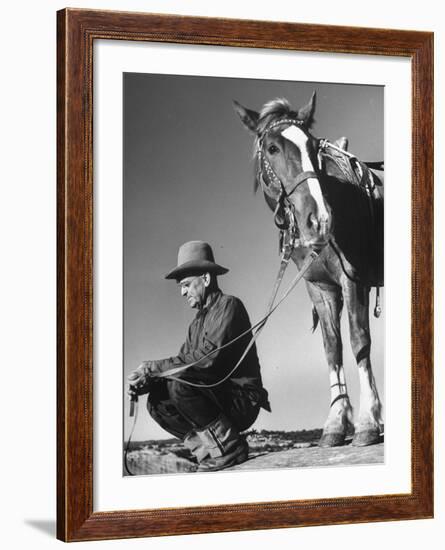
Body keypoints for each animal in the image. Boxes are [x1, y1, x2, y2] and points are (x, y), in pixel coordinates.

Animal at [234, 94, 384, 448]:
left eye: (313, 146)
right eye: (272, 148)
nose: (320, 220)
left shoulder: (353, 280)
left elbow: (359, 341)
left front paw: (367, 421)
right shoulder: (320, 289)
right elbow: (333, 348)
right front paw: (335, 423)